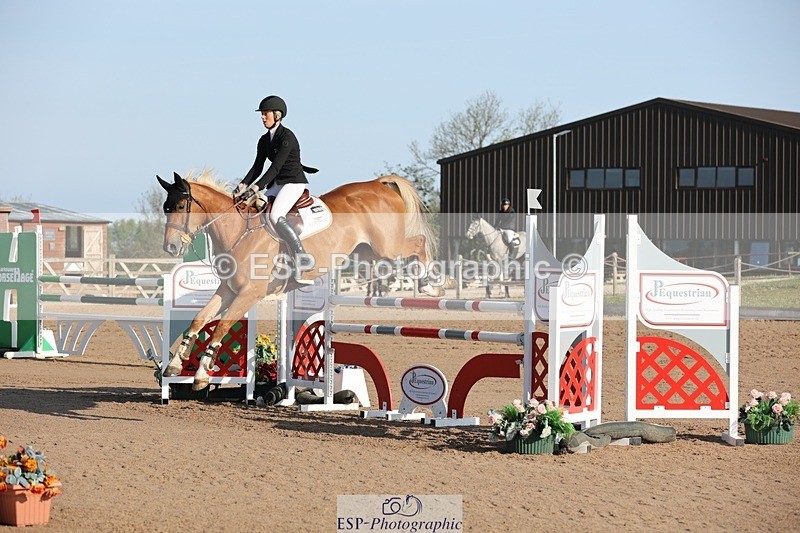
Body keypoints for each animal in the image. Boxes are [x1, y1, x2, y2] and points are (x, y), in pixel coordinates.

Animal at [158, 170, 443, 390]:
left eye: (181, 207)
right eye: (166, 209)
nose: (170, 247)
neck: (238, 231)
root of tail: (377, 184)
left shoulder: (249, 294)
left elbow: (221, 327)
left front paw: (201, 376)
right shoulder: (228, 289)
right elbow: (200, 319)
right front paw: (175, 365)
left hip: (387, 247)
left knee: (419, 242)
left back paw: (430, 284)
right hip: (368, 250)